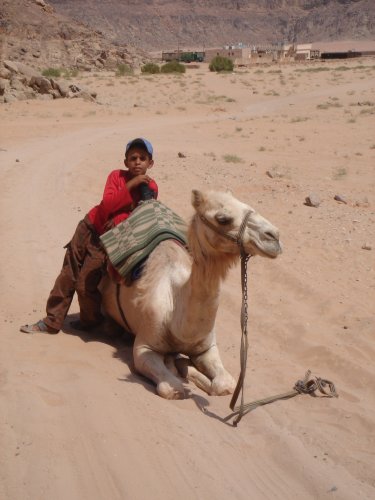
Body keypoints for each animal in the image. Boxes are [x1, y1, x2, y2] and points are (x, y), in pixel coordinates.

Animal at [100, 189, 282, 400]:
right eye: (223, 219)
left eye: (246, 205)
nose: (274, 236)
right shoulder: (144, 347)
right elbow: (172, 388)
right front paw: (179, 371)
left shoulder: (207, 348)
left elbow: (225, 385)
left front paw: (192, 373)